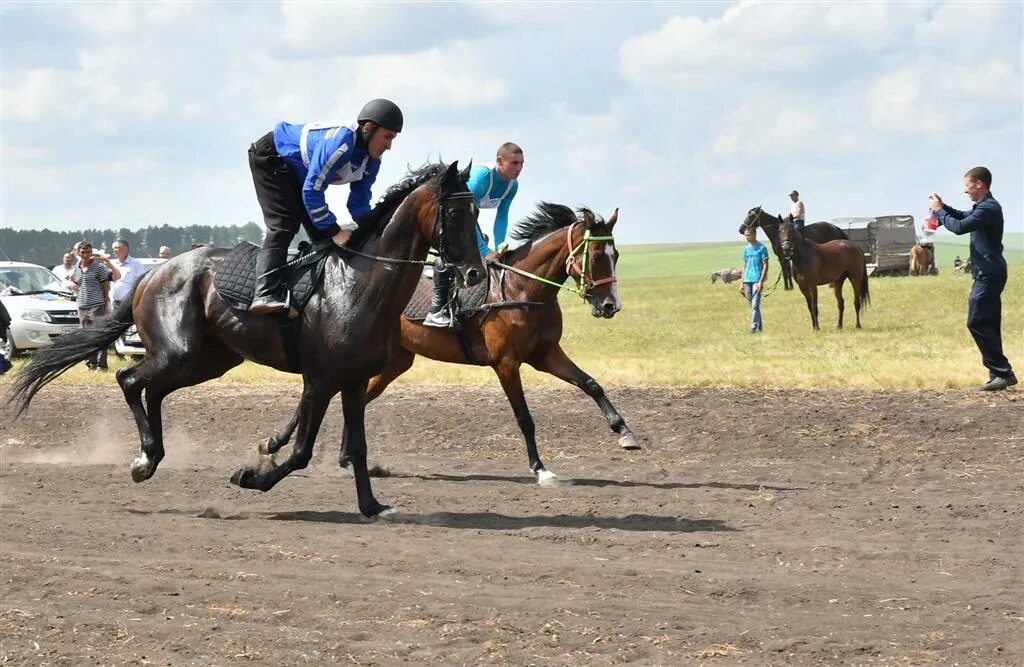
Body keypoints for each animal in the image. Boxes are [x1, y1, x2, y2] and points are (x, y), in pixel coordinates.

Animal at [11, 161, 483, 522]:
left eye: (477, 212)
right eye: (455, 215)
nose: (476, 273)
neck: (356, 285)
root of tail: (152, 273)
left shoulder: (351, 381)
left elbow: (359, 447)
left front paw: (371, 505)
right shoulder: (319, 381)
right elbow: (301, 451)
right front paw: (252, 477)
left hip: (209, 360)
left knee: (154, 388)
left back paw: (154, 455)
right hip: (178, 351)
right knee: (129, 379)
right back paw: (144, 459)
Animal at [260, 200, 634, 483]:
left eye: (616, 256)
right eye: (597, 256)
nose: (610, 306)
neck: (522, 289)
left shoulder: (546, 354)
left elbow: (591, 384)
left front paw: (625, 433)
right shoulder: (506, 363)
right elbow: (524, 418)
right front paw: (540, 469)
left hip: (395, 361)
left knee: (356, 398)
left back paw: (342, 456)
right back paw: (276, 442)